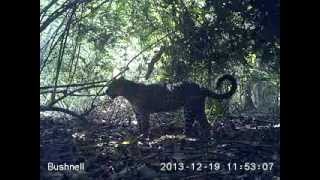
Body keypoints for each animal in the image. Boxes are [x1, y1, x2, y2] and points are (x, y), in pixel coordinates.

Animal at [105, 74, 238, 138]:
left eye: (111, 85)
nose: (105, 91)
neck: (128, 94)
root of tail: (201, 87)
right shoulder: (137, 113)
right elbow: (140, 125)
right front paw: (139, 134)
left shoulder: (144, 112)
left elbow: (145, 125)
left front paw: (144, 137)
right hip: (196, 108)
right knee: (204, 122)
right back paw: (202, 135)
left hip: (190, 108)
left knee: (196, 123)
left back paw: (188, 136)